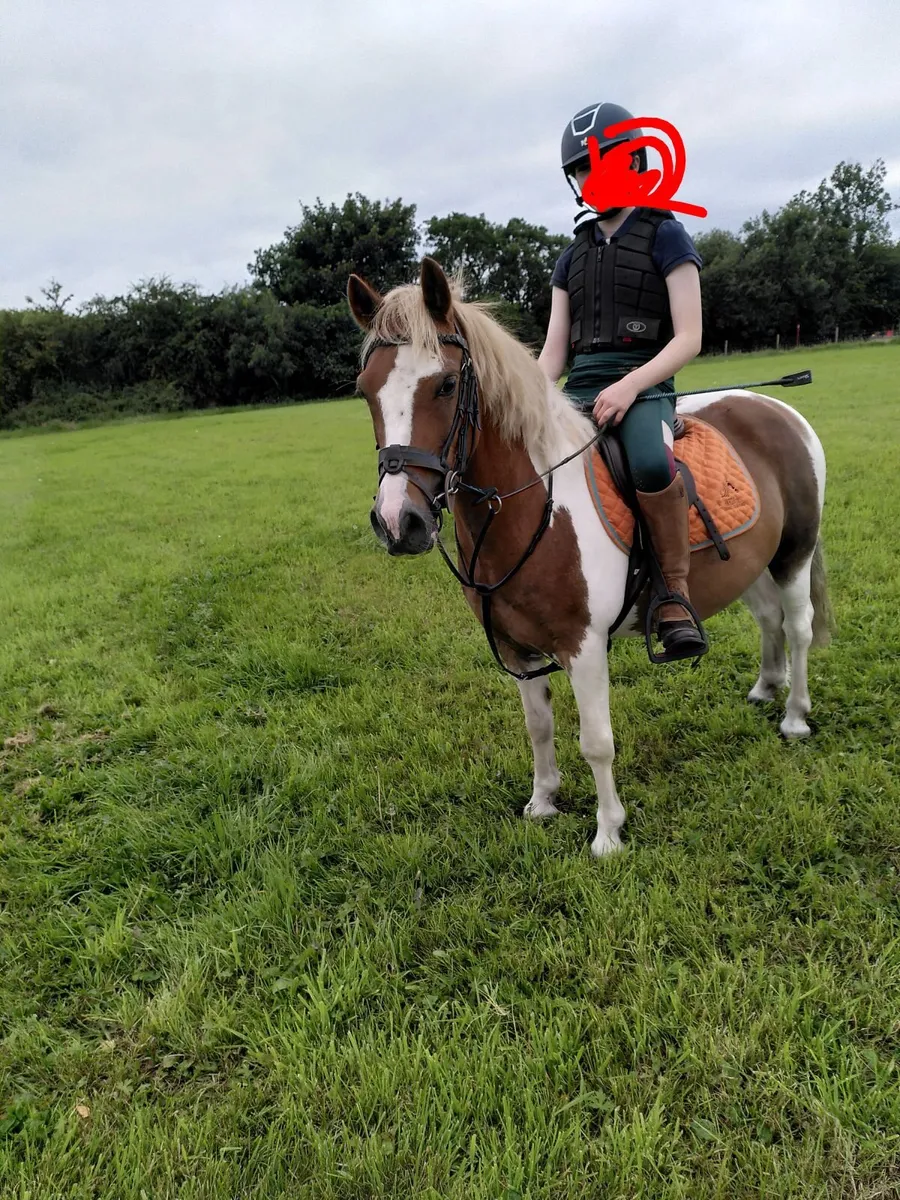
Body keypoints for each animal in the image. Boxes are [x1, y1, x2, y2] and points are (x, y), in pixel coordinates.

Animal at [347, 257, 832, 857]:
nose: (398, 521)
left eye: (447, 384)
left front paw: (608, 834)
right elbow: (539, 727)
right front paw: (542, 803)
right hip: (749, 564)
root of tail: (775, 406)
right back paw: (766, 688)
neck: (537, 506)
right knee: (770, 620)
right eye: (365, 391)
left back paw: (795, 718)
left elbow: (596, 740)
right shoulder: (516, 650)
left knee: (799, 627)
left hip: (794, 553)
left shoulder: (584, 645)